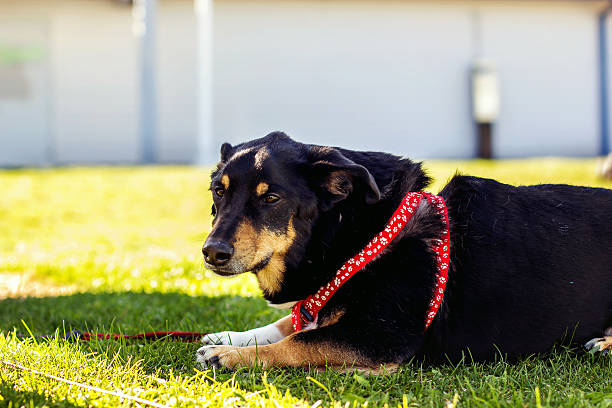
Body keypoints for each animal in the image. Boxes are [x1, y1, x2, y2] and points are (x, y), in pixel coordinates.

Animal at [196, 132, 612, 372]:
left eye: (271, 198)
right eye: (219, 190)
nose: (212, 252)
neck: (361, 235)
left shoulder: (380, 337)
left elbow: (299, 341)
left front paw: (231, 356)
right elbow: (287, 324)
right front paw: (230, 337)